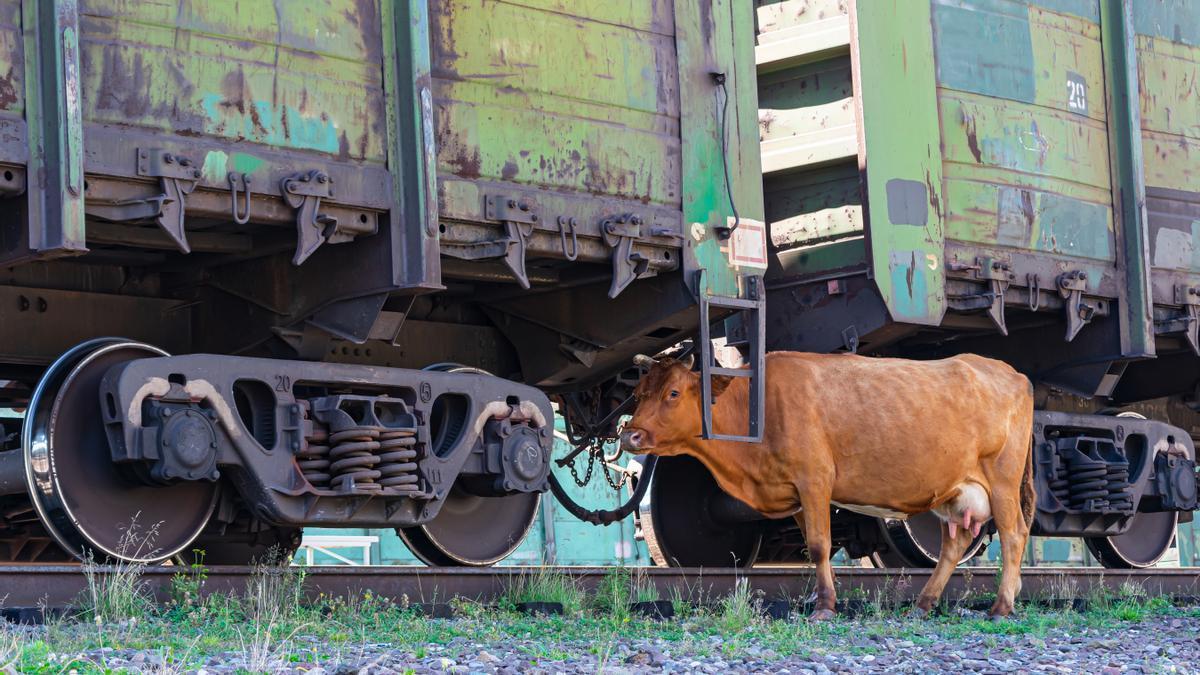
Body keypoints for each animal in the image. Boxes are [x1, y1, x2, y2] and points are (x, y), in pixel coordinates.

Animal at [621, 352, 1034, 620]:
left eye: (673, 393)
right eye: (638, 395)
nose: (630, 436)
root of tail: (1011, 372)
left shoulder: (815, 479)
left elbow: (820, 545)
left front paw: (823, 607)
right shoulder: (795, 496)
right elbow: (811, 545)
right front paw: (821, 598)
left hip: (1001, 479)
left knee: (1014, 533)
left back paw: (1001, 607)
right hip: (955, 490)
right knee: (955, 543)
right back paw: (923, 603)